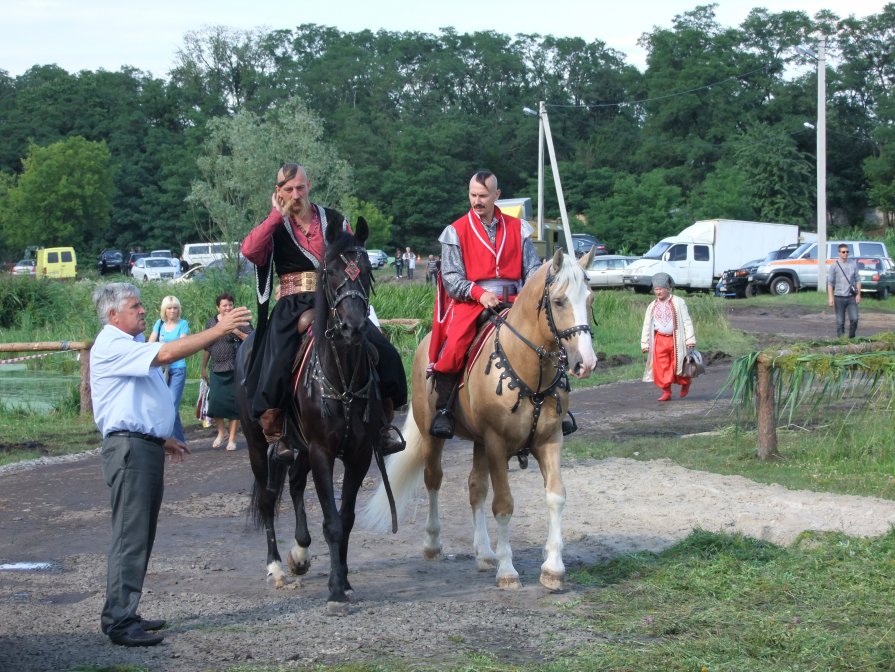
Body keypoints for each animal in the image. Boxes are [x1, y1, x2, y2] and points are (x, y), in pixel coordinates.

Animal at [238, 217, 388, 616]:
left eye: (367, 271)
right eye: (330, 272)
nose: (354, 327)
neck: (343, 378)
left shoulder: (359, 454)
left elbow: (346, 519)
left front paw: (345, 580)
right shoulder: (322, 451)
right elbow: (332, 522)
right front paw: (335, 591)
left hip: (298, 448)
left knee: (293, 485)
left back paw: (300, 553)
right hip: (258, 446)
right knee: (268, 499)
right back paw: (276, 566)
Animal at [360, 247, 600, 588]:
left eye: (589, 299)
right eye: (558, 301)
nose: (586, 362)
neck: (530, 370)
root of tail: (426, 343)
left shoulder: (549, 440)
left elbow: (555, 496)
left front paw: (552, 568)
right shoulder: (497, 444)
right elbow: (503, 504)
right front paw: (508, 570)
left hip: (480, 444)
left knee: (475, 487)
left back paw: (485, 552)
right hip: (436, 437)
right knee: (433, 480)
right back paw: (433, 544)